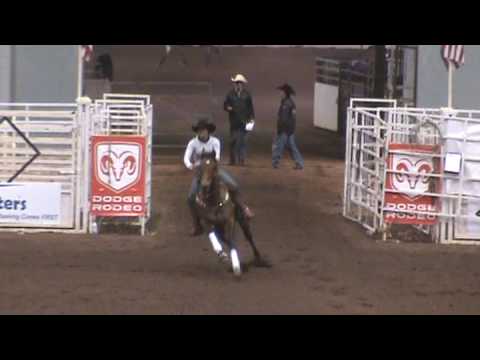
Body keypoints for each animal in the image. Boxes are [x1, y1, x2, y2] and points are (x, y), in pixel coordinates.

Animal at [194, 150, 270, 278]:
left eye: (214, 167)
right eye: (200, 167)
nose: (204, 187)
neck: (214, 202)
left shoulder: (229, 220)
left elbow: (231, 239)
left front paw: (236, 267)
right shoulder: (207, 223)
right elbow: (213, 237)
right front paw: (222, 255)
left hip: (242, 221)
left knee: (248, 238)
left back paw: (259, 259)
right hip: (219, 228)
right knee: (224, 238)